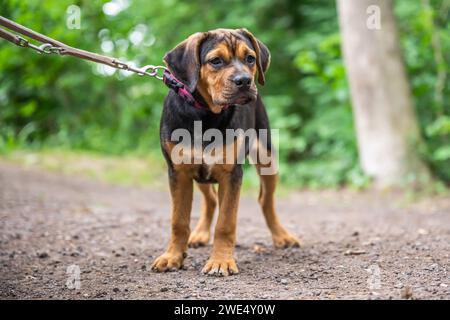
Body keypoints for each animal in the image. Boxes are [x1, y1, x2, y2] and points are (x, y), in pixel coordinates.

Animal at [151, 28, 298, 276]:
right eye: (216, 61)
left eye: (250, 58)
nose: (245, 81)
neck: (205, 114)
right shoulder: (179, 171)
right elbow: (178, 221)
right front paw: (172, 256)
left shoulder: (231, 173)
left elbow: (226, 223)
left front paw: (220, 261)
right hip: (200, 171)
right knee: (210, 199)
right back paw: (199, 234)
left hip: (267, 158)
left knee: (266, 200)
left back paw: (282, 235)